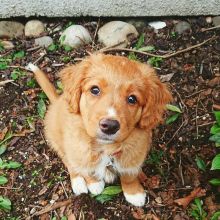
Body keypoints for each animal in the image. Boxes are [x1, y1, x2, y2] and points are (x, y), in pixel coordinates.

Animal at [27, 53, 172, 206]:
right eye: (95, 90)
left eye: (132, 99)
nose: (110, 125)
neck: (105, 148)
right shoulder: (78, 150)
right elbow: (85, 169)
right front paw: (94, 183)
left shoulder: (134, 154)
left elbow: (129, 176)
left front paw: (134, 193)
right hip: (58, 141)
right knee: (68, 161)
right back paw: (78, 182)